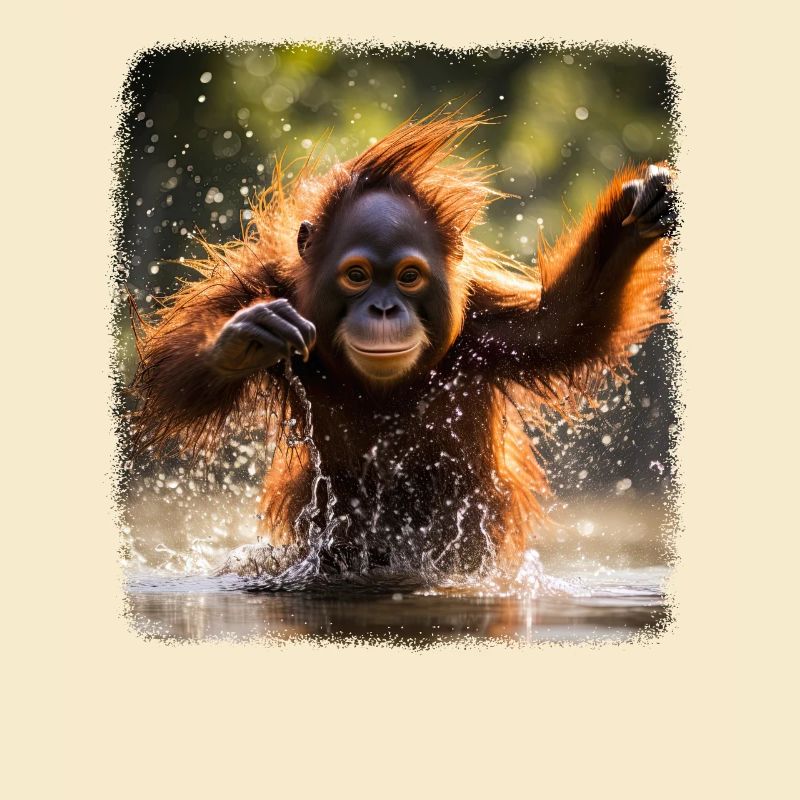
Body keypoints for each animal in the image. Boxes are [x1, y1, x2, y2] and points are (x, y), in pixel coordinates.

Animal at [131, 110, 675, 580]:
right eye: (357, 276)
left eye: (408, 276)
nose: (385, 309)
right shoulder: (263, 285)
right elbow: (168, 386)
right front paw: (241, 339)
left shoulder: (486, 327)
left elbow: (566, 327)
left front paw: (634, 212)